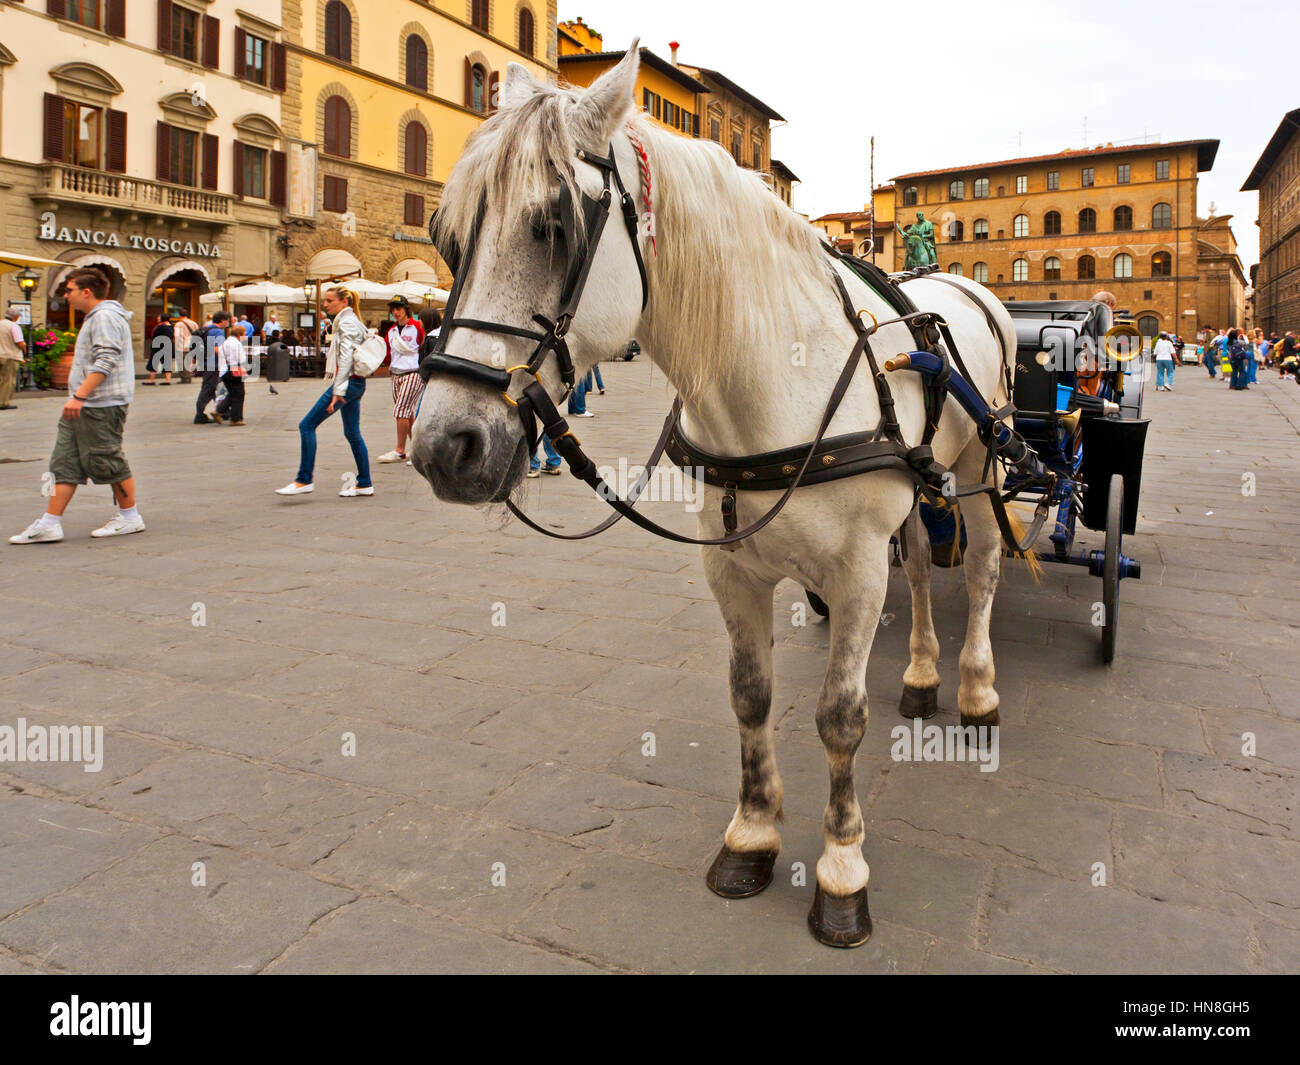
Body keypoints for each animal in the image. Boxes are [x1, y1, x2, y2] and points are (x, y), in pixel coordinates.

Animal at [412, 46, 1017, 947]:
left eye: (553, 226)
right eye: (447, 240)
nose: (442, 445)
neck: (774, 377)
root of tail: (965, 288)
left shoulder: (853, 572)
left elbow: (839, 716)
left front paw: (842, 870)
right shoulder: (732, 570)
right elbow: (750, 694)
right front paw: (753, 834)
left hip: (984, 460)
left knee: (979, 569)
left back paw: (976, 688)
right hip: (918, 488)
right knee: (917, 566)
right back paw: (919, 673)